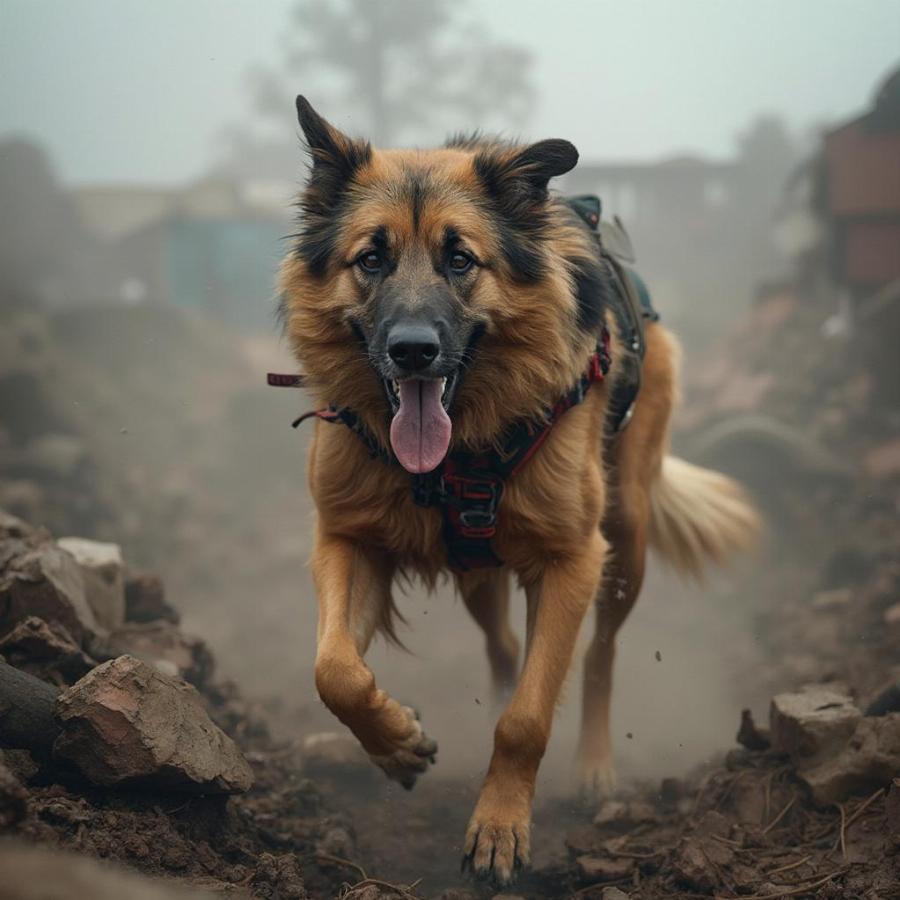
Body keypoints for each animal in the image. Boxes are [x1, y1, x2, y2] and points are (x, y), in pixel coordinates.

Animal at [280, 95, 760, 884]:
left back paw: (593, 764)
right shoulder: (346, 540)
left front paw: (500, 825)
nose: (413, 351)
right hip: (482, 570)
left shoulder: (571, 562)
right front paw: (397, 740)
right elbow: (334, 670)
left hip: (624, 540)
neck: (451, 459)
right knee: (503, 645)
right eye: (371, 258)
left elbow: (529, 718)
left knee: (597, 655)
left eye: (461, 259)